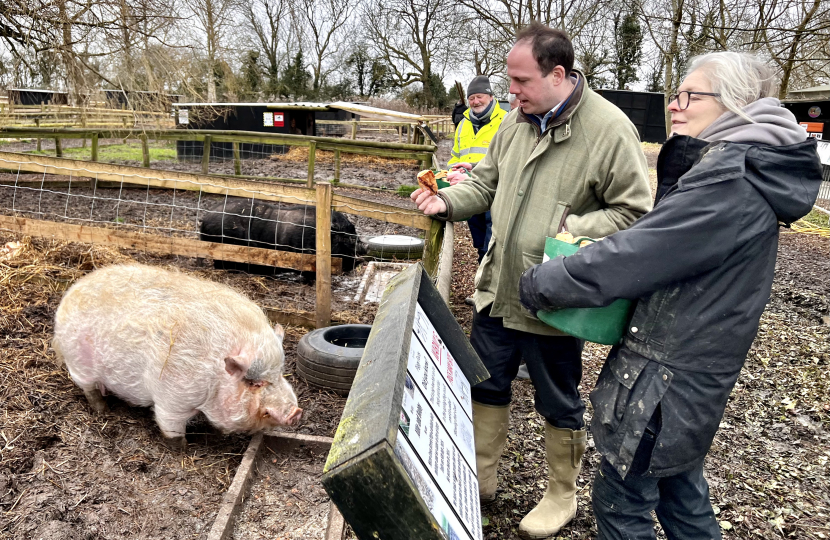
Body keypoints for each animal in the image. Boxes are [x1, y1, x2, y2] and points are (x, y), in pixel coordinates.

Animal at [51, 264, 302, 448]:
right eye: (254, 383)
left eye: (280, 374)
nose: (296, 412)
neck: (215, 378)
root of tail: (72, 291)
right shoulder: (171, 398)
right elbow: (170, 426)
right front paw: (182, 448)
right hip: (79, 364)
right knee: (90, 390)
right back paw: (102, 410)